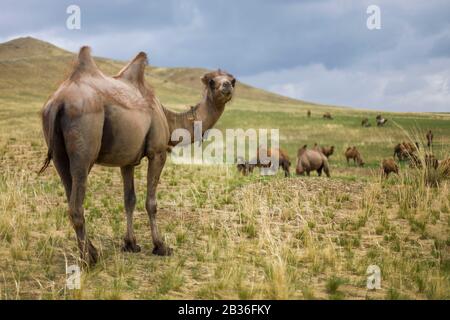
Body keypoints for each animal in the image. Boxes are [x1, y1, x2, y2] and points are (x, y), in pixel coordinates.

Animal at [39, 46, 236, 264]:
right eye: (211, 81)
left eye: (233, 79)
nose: (226, 86)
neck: (168, 118)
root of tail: (59, 102)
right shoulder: (157, 152)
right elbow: (151, 203)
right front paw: (161, 246)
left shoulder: (126, 160)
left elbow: (129, 200)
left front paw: (130, 244)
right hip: (84, 145)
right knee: (76, 204)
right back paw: (89, 259)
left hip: (59, 154)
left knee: (69, 194)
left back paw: (91, 251)